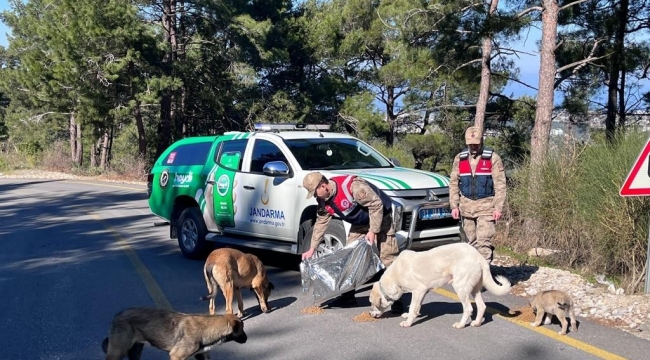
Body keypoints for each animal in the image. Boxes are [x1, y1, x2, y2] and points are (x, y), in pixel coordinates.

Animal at [102, 306, 247, 360]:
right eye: (242, 329)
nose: (246, 339)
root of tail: (116, 316)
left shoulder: (201, 355)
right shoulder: (176, 356)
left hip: (135, 351)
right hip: (117, 352)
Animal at [368, 243, 508, 328]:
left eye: (372, 304)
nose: (369, 314)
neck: (393, 277)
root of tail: (478, 256)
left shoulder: (418, 290)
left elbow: (413, 306)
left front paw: (408, 322)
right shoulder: (423, 291)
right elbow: (416, 307)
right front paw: (411, 315)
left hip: (460, 287)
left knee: (468, 308)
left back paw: (460, 325)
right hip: (474, 289)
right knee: (482, 306)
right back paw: (477, 323)